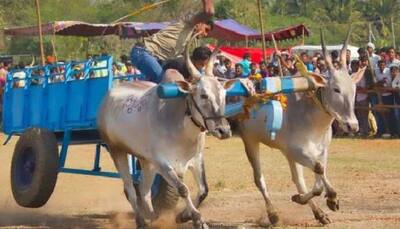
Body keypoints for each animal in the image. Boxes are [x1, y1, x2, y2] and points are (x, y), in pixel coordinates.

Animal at [98, 36, 234, 228]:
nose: (224, 130)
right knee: (130, 190)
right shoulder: (163, 163)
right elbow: (183, 189)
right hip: (117, 151)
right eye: (203, 95)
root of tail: (108, 96)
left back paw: (154, 218)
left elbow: (203, 190)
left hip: (146, 160)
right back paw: (141, 221)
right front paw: (198, 219)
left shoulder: (196, 159)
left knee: (144, 190)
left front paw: (183, 216)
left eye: (223, 94)